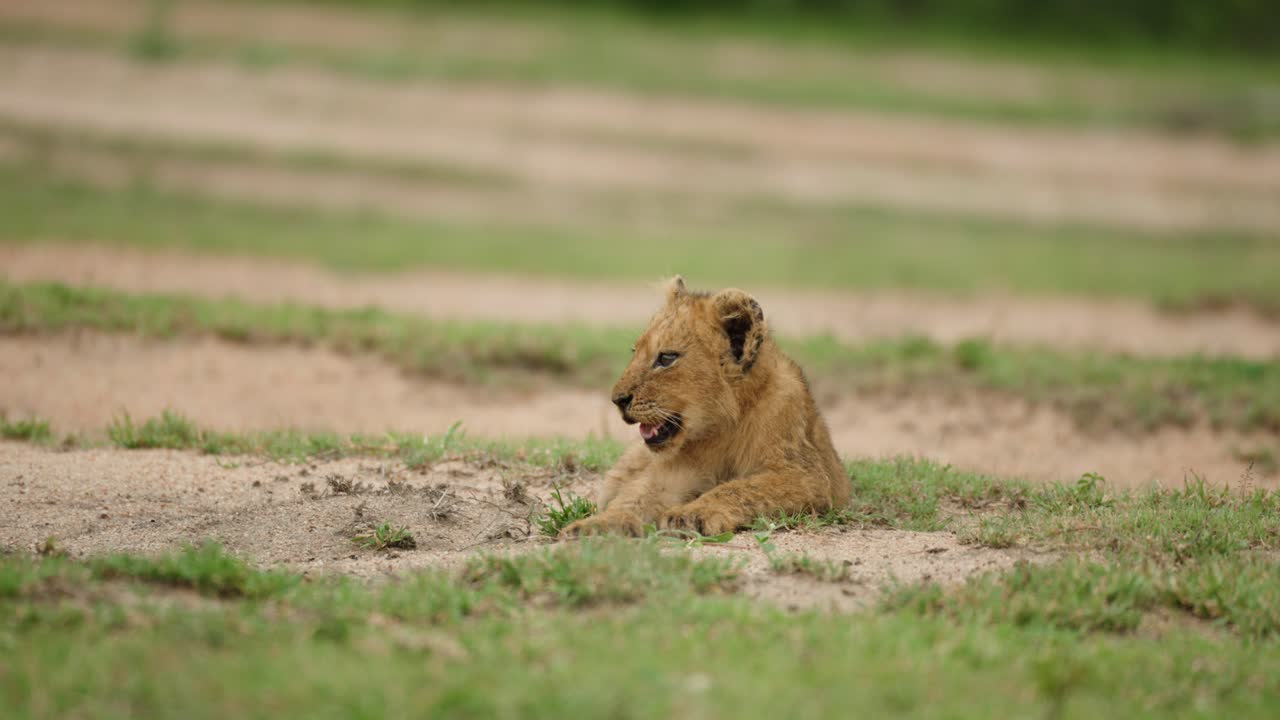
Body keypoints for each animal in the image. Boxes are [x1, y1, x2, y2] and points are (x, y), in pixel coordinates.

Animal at [562, 276, 848, 537]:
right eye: (634, 351)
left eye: (666, 358)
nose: (617, 400)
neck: (723, 426)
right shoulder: (672, 473)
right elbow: (636, 497)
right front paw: (596, 526)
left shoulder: (806, 476)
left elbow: (740, 487)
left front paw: (691, 515)